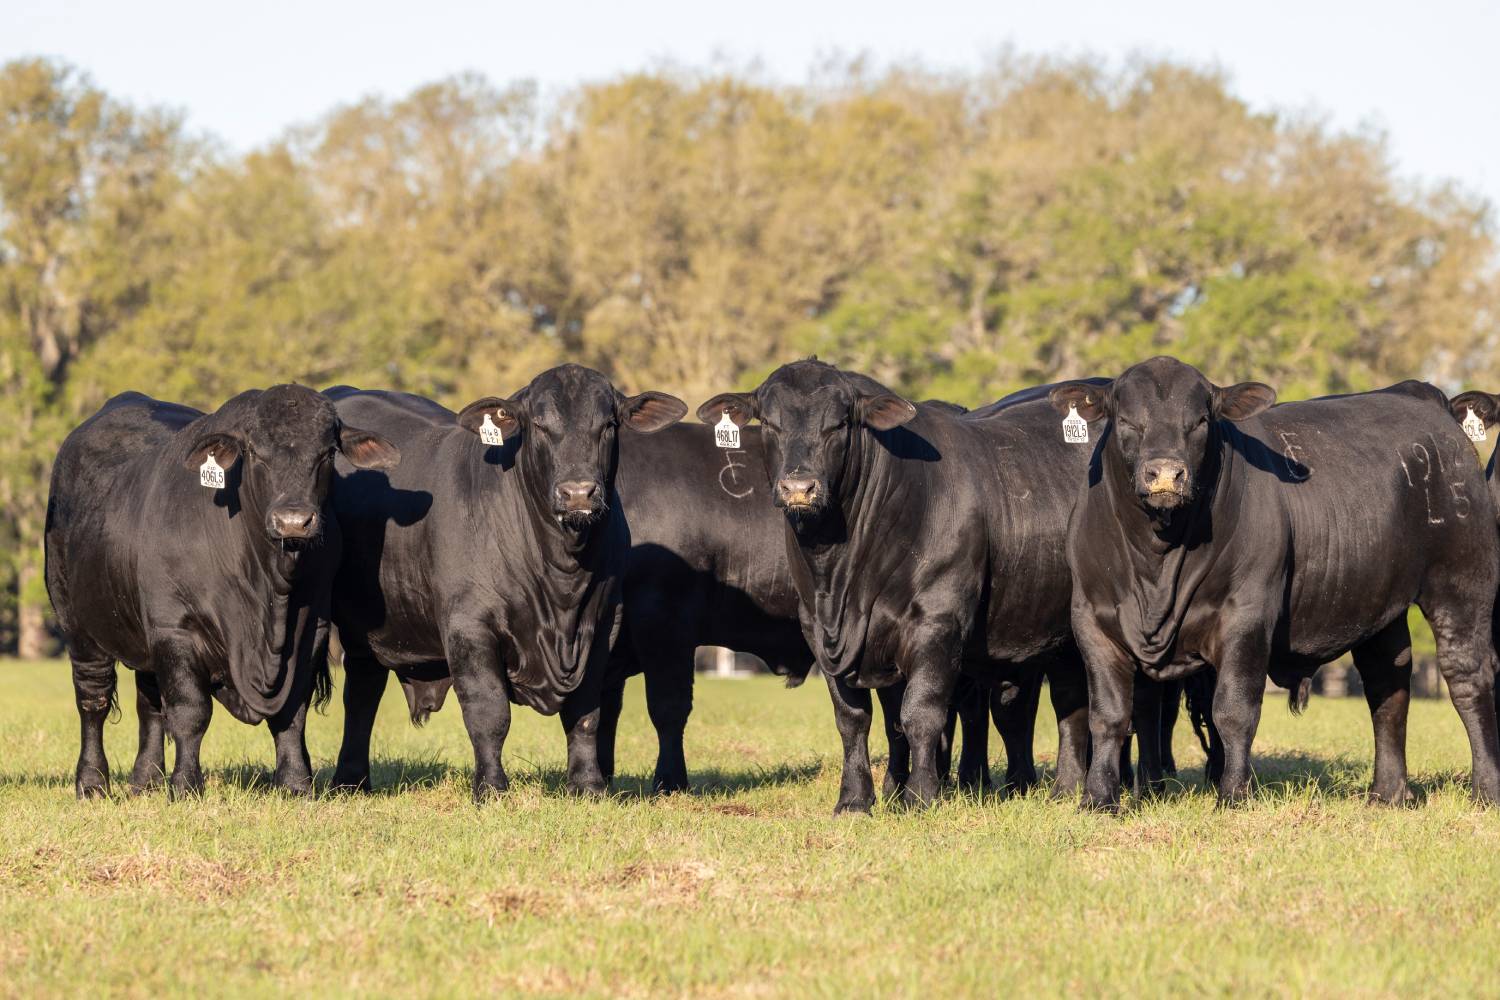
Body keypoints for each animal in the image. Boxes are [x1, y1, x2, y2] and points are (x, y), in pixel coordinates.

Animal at [44, 386, 399, 799]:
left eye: (327, 453)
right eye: (256, 452)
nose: (294, 521)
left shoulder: (312, 632)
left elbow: (292, 714)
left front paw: (295, 784)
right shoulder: (176, 630)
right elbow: (190, 712)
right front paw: (185, 785)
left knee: (149, 704)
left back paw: (146, 780)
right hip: (78, 626)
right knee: (93, 701)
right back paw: (92, 783)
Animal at [323, 365, 686, 801]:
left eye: (608, 425)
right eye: (540, 426)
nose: (578, 493)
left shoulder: (601, 626)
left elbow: (586, 712)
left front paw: (588, 784)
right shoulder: (469, 626)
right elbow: (489, 711)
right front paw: (491, 787)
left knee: (363, 689)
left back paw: (353, 779)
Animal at [598, 421, 1028, 796]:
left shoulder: (664, 620)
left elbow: (666, 708)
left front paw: (669, 782)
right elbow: (607, 707)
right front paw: (602, 777)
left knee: (969, 707)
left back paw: (972, 780)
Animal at [699, 360, 1108, 812]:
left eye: (840, 423)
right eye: (769, 423)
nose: (799, 488)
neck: (840, 577)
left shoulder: (938, 621)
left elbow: (921, 713)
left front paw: (920, 794)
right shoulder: (820, 630)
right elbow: (856, 719)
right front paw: (856, 799)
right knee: (1065, 703)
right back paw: (1060, 787)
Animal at [1052, 356, 1500, 810]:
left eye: (1200, 421)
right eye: (1125, 420)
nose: (1164, 474)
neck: (1157, 562)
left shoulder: (1247, 615)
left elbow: (1234, 711)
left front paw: (1233, 794)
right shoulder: (1090, 619)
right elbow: (1108, 715)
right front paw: (1097, 798)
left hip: (1462, 581)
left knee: (1468, 676)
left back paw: (1485, 789)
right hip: (1381, 606)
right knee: (1386, 683)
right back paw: (1388, 793)